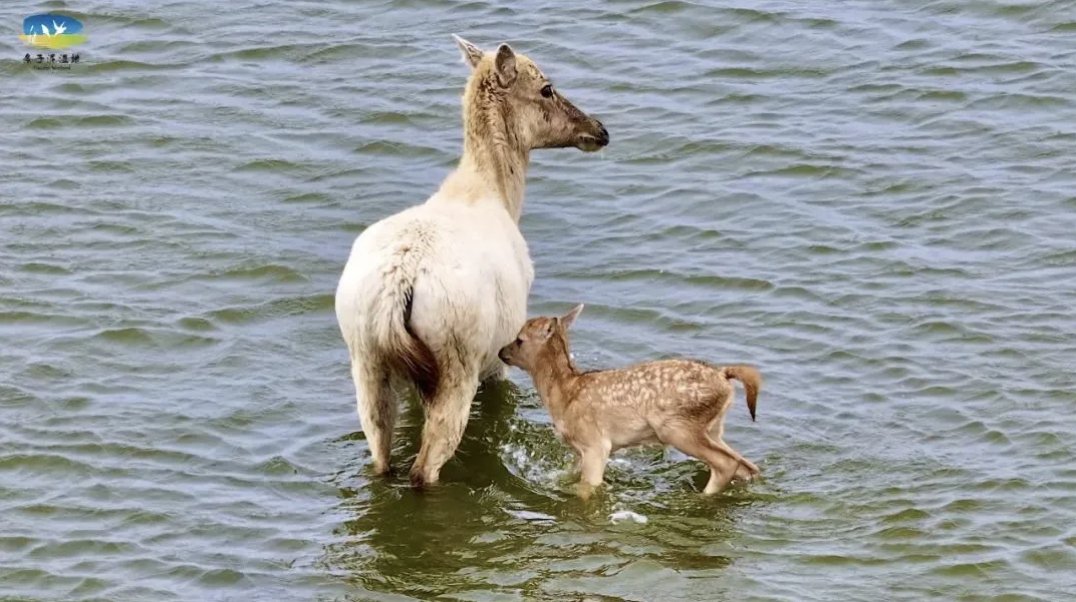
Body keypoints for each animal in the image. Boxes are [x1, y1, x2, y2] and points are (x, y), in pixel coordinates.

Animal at [333, 36, 606, 491]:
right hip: (455, 360)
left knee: (380, 454)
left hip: (367, 359)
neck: (491, 192)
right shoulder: (499, 356)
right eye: (546, 88)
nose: (600, 130)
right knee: (425, 466)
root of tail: (399, 285)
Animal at [499, 305, 761, 499]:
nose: (501, 352)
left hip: (677, 427)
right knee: (747, 465)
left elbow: (587, 489)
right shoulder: (580, 450)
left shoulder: (595, 443)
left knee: (728, 463)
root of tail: (723, 376)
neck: (564, 394)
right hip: (713, 428)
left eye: (520, 339)